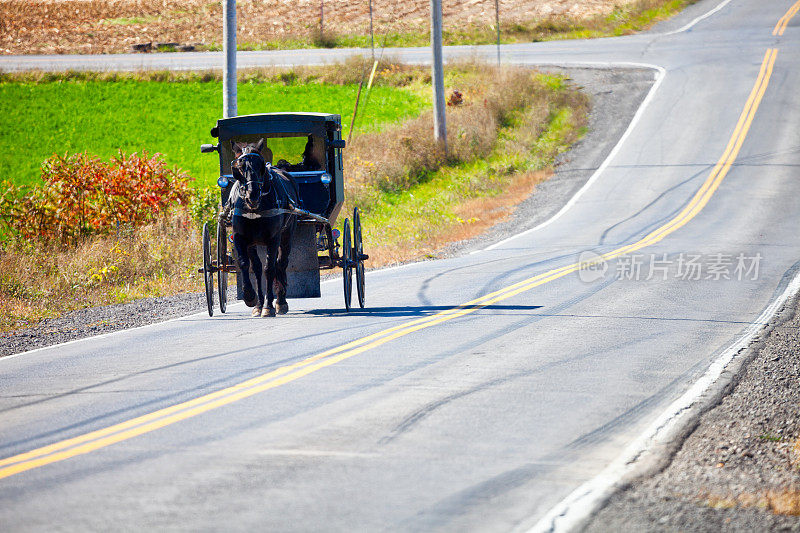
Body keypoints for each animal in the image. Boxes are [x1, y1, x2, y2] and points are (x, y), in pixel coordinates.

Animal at [228, 139, 300, 318]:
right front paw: (251, 298)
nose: (252, 195)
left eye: (260, 165)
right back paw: (259, 304)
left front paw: (269, 306)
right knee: (257, 268)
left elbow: (270, 269)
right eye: (239, 167)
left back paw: (280, 302)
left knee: (281, 264)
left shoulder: (273, 239)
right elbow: (245, 264)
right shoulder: (240, 237)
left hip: (286, 235)